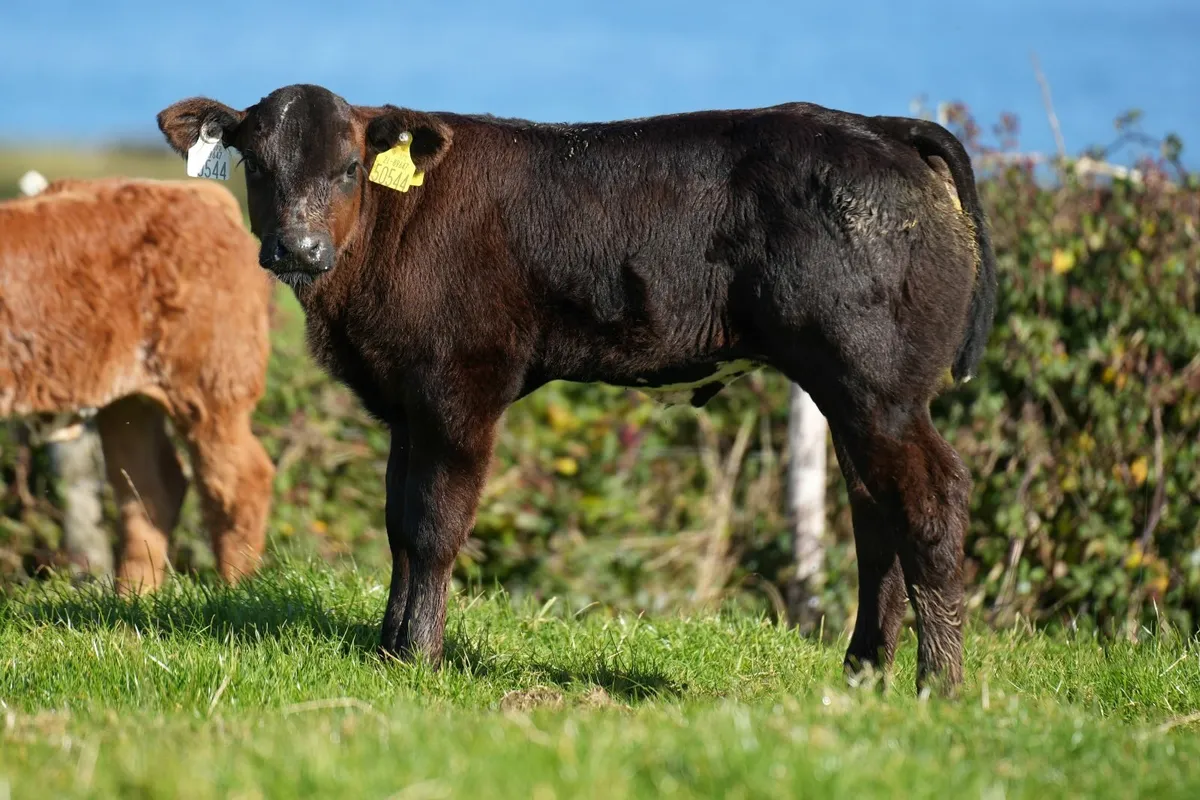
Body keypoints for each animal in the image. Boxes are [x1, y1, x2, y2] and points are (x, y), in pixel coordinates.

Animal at [0, 176, 276, 594]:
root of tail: (201, 195)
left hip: (210, 386)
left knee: (238, 482)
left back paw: (237, 592)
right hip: (127, 398)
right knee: (148, 491)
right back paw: (132, 599)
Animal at [157, 83, 997, 695]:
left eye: (347, 169)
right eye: (259, 167)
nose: (298, 247)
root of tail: (877, 126)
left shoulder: (463, 384)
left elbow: (433, 527)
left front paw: (418, 658)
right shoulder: (407, 401)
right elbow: (398, 524)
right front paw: (388, 647)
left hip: (876, 381)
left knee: (932, 498)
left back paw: (938, 686)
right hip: (857, 390)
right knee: (874, 511)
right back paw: (862, 675)